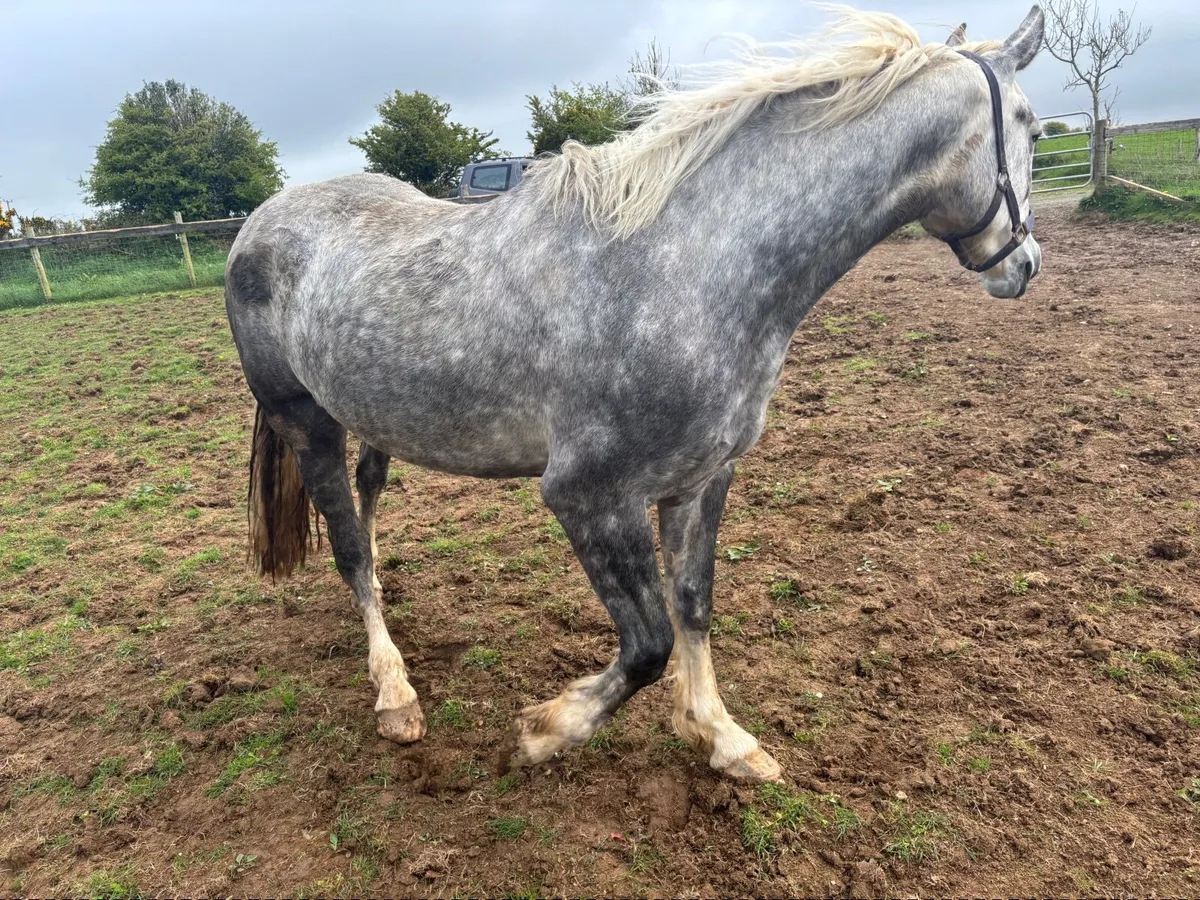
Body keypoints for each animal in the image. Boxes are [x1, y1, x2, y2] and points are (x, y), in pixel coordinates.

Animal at [224, 7, 1045, 783]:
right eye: (1033, 129)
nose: (1025, 265)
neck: (687, 268)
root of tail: (259, 223)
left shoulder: (702, 479)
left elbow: (693, 607)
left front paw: (722, 737)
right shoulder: (591, 494)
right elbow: (647, 644)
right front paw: (546, 731)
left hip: (371, 420)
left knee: (366, 516)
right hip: (305, 421)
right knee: (348, 547)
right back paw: (395, 694)